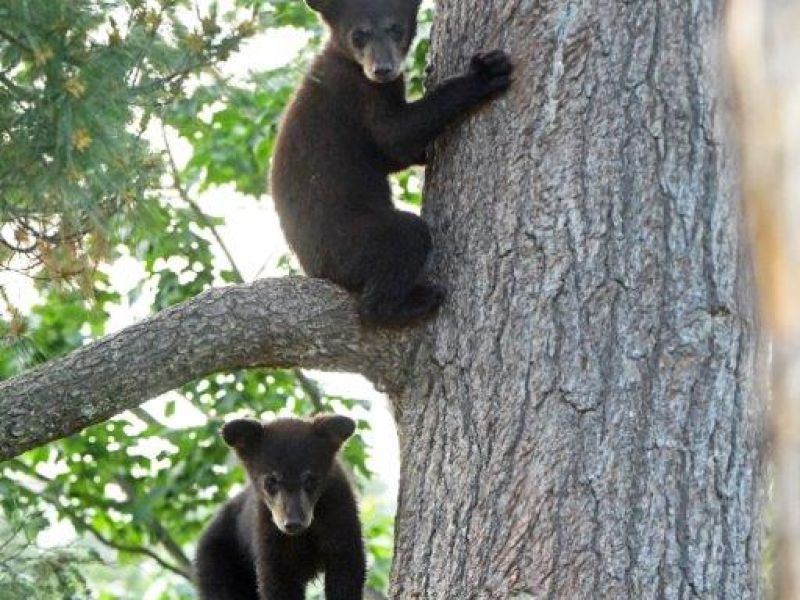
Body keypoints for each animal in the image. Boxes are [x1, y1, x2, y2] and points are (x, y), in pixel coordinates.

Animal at [195, 415, 366, 600]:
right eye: (271, 481)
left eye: (310, 480)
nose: (293, 522)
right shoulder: (267, 530)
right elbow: (276, 581)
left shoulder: (339, 511)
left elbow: (346, 570)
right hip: (219, 560)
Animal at [270, 0, 513, 327]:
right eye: (359, 34)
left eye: (396, 28)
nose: (382, 69)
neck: (349, 62)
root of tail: (317, 271)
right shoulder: (361, 96)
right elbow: (396, 136)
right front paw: (485, 73)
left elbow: (392, 157)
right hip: (351, 243)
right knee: (405, 238)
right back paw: (413, 301)